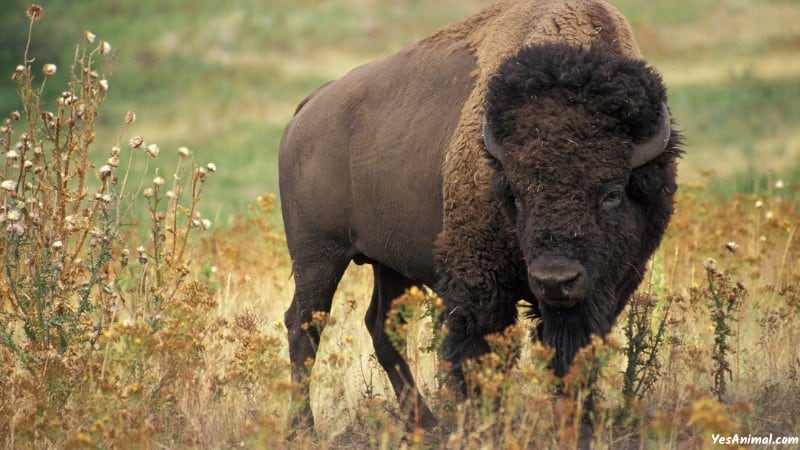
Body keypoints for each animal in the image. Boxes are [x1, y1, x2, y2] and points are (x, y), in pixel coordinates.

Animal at [280, 0, 680, 432]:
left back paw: (425, 424)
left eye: (612, 193)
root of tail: (308, 109)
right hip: (318, 255)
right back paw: (304, 427)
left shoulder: (606, 289)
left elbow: (572, 355)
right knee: (304, 325)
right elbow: (479, 354)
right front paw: (482, 422)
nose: (555, 280)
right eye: (516, 193)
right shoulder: (479, 283)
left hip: (389, 264)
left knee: (381, 326)